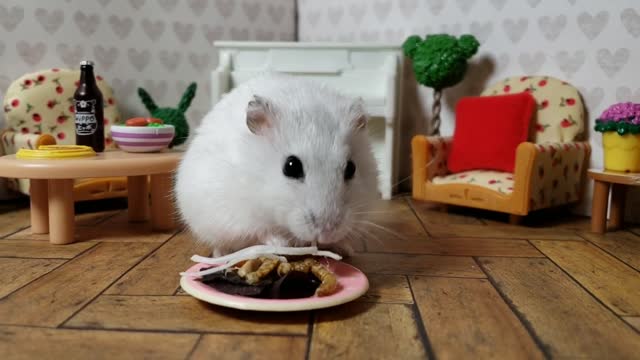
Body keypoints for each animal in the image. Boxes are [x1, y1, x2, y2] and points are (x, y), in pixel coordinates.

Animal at [172, 73, 378, 256]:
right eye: (291, 166)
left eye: (351, 168)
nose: (327, 233)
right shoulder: (237, 215)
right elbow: (261, 231)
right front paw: (283, 244)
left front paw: (343, 246)